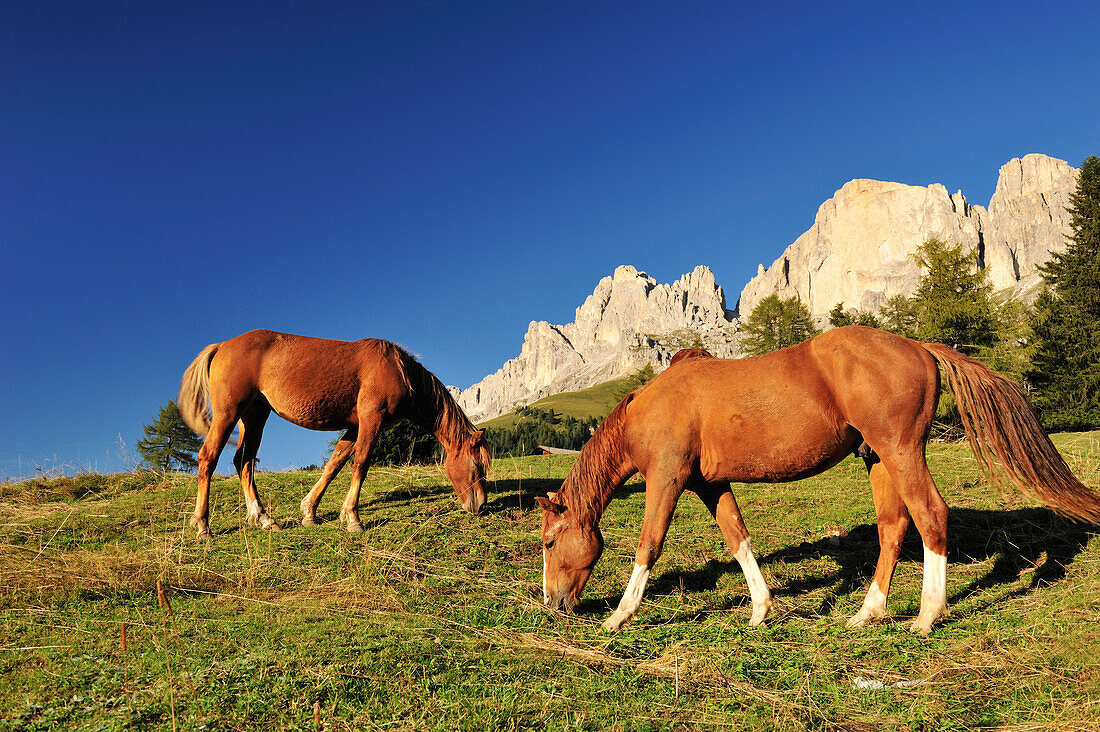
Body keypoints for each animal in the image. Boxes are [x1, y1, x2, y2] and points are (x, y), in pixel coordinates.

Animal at [177, 328, 490, 539]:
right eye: (476, 466)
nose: (480, 506)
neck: (398, 370)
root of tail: (221, 346)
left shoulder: (355, 426)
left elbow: (334, 465)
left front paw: (309, 512)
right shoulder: (370, 419)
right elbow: (360, 464)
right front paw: (353, 518)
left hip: (254, 416)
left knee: (243, 461)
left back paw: (263, 518)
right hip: (228, 414)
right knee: (208, 458)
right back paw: (203, 525)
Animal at [536, 325, 1100, 634]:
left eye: (548, 542)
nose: (552, 604)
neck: (652, 406)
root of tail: (917, 345)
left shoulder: (667, 480)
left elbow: (648, 545)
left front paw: (619, 617)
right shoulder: (709, 485)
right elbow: (739, 539)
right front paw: (761, 610)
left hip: (900, 453)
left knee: (930, 517)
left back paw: (927, 615)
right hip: (878, 460)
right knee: (893, 529)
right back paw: (867, 613)